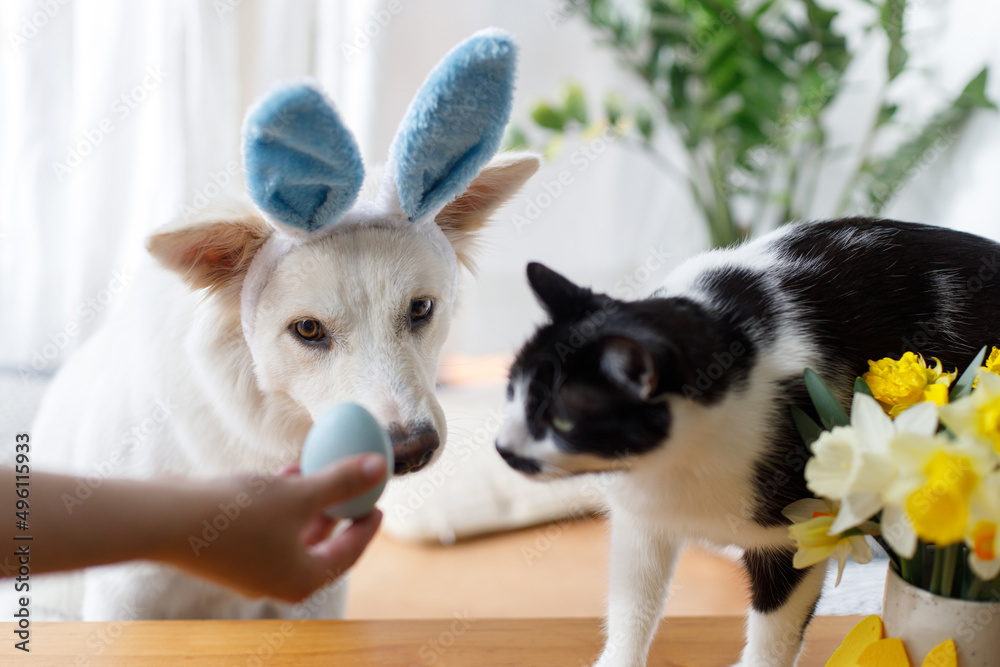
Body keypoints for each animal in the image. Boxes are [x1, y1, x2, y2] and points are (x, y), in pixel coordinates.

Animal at [496, 217, 1000, 664]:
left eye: (560, 420)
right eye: (512, 392)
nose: (502, 448)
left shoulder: (792, 532)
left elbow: (775, 634)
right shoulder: (642, 523)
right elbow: (631, 610)